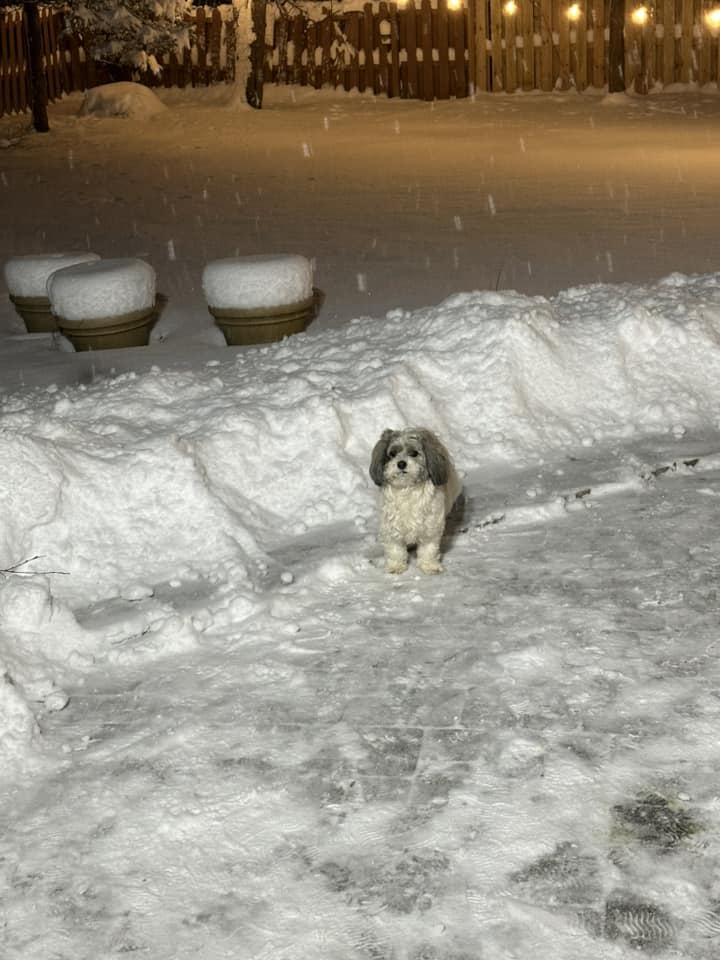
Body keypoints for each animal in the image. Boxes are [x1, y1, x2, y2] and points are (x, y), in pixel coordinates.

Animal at [368, 430, 464, 576]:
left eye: (413, 453)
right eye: (392, 454)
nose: (401, 463)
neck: (407, 489)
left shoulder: (430, 528)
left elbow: (428, 549)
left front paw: (429, 566)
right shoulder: (391, 527)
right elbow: (395, 549)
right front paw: (396, 567)